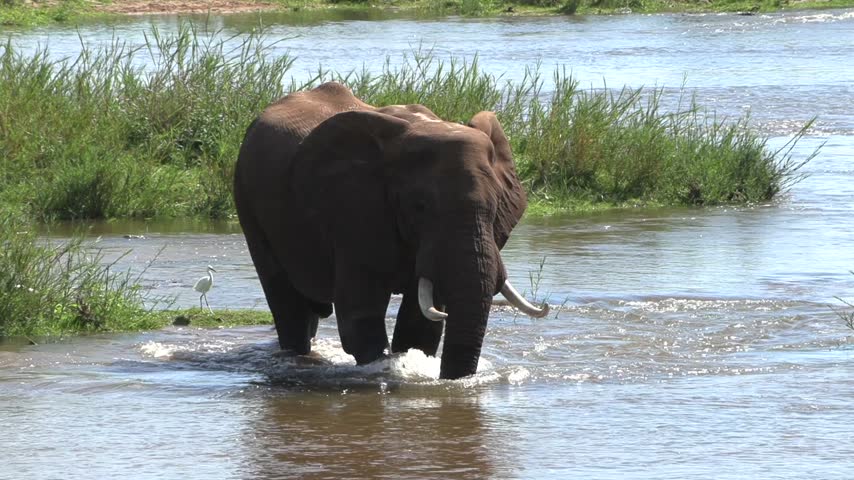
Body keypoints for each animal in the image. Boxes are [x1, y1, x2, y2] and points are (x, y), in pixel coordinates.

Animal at [233, 82, 547, 380]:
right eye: (419, 206)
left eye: (495, 208)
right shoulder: (352, 209)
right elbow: (361, 317)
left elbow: (420, 325)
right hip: (247, 198)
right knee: (286, 303)